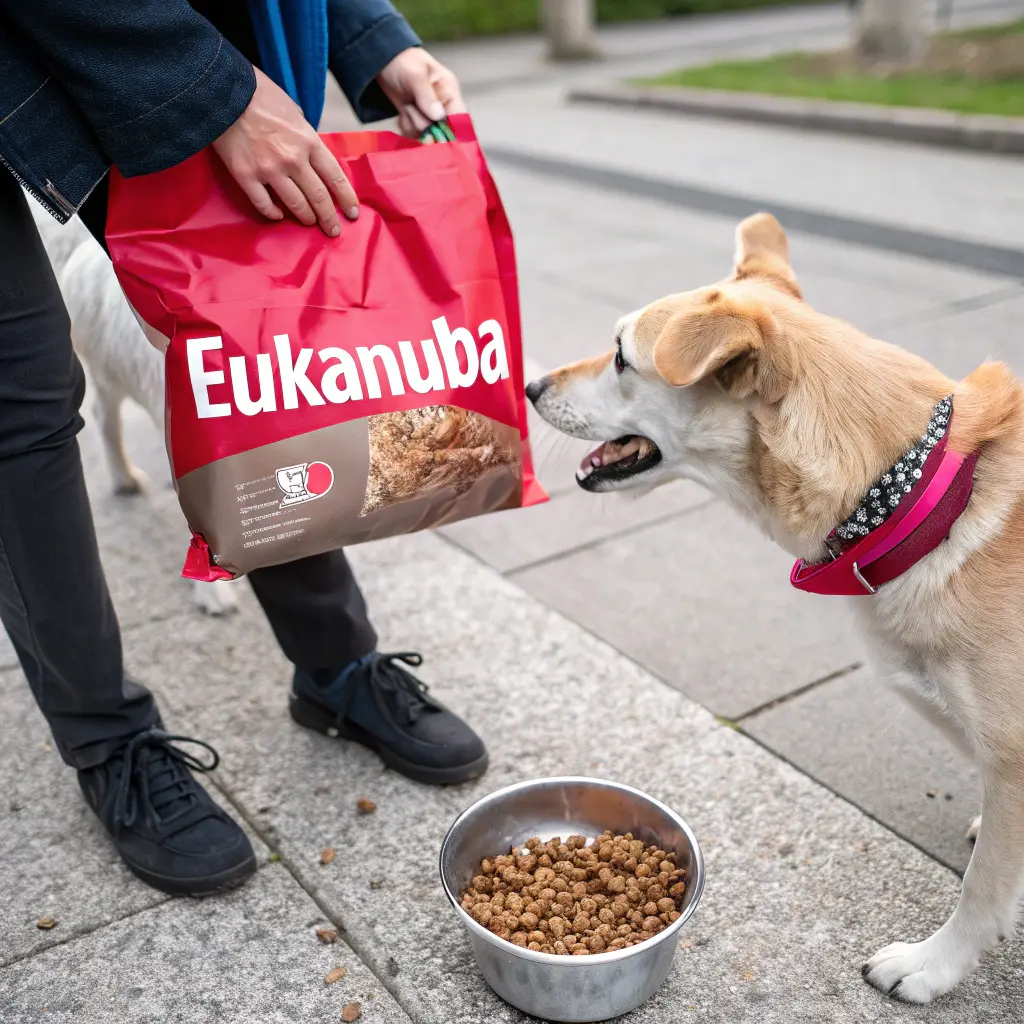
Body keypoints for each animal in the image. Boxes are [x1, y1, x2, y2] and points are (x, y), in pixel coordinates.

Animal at [528, 211, 1024, 1003]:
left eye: (622, 358)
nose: (532, 384)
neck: (913, 495)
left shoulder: (1010, 753)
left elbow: (981, 888)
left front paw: (934, 966)